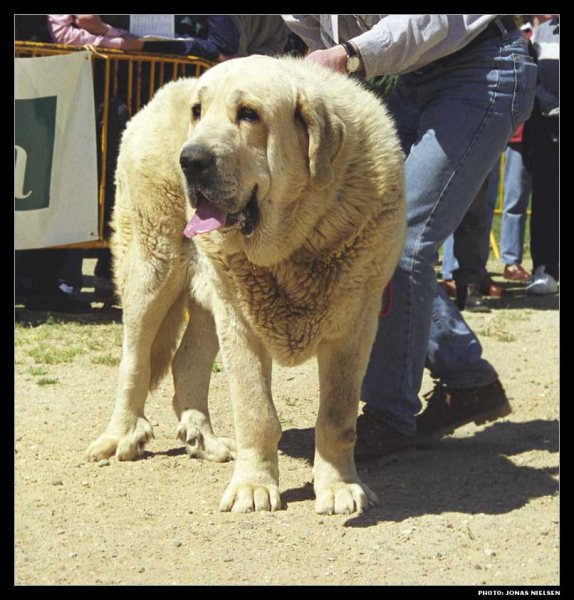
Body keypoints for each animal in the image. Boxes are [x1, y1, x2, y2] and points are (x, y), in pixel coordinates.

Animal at [88, 56, 408, 516]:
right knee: (135, 360)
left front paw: (340, 486)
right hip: (152, 271)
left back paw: (202, 438)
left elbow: (337, 415)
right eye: (198, 111)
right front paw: (254, 487)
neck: (296, 241)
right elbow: (256, 412)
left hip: (210, 297)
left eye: (249, 114)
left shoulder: (354, 325)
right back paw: (122, 436)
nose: (191, 159)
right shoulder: (242, 323)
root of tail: (156, 97)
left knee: (186, 361)